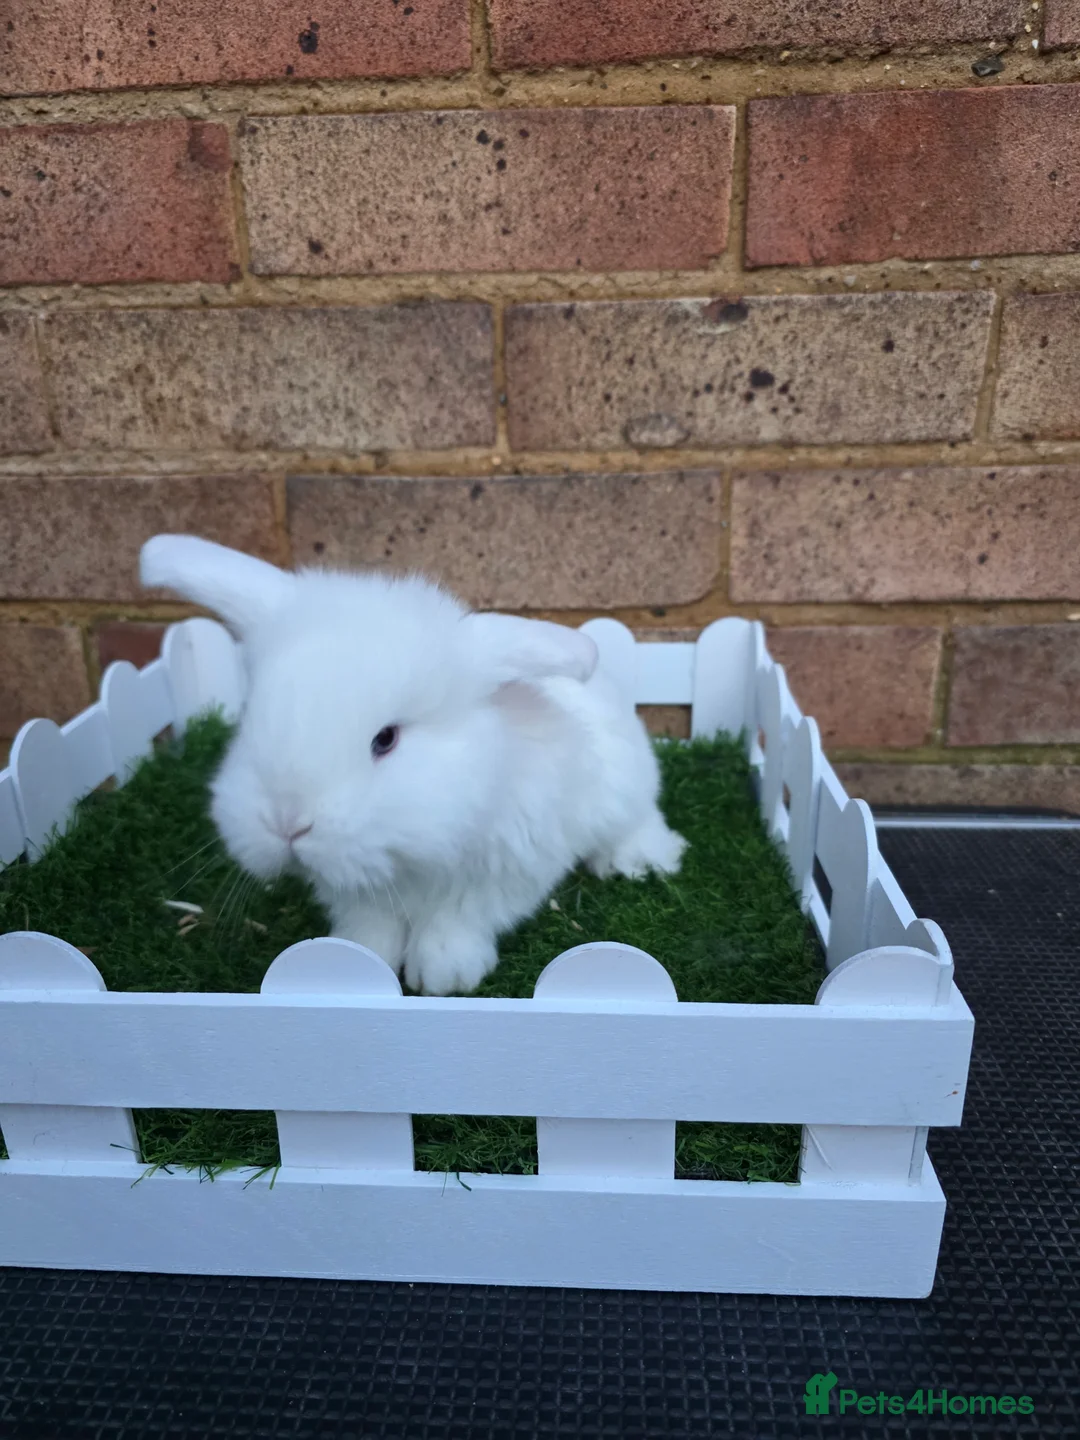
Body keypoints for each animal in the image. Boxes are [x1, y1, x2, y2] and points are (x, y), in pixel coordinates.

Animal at [140, 535, 686, 995]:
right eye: (250, 715)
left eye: (386, 739)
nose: (287, 823)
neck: (406, 859)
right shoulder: (358, 892)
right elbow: (369, 929)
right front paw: (354, 960)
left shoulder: (509, 871)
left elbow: (460, 919)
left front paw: (443, 974)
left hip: (625, 795)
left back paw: (639, 860)